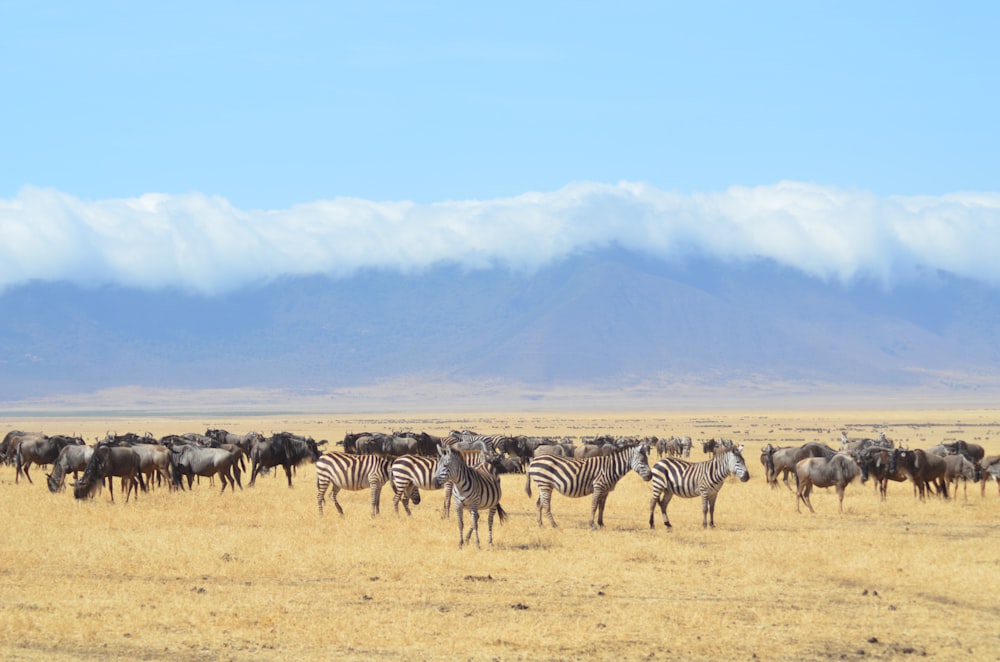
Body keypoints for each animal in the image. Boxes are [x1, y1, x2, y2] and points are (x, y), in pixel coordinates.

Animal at [524, 444, 656, 532]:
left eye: (646, 460)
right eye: (642, 461)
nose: (650, 476)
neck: (611, 468)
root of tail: (534, 460)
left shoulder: (605, 491)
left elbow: (601, 508)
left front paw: (601, 524)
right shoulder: (598, 487)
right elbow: (594, 506)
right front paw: (592, 525)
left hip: (544, 485)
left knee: (538, 504)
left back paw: (540, 524)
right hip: (545, 484)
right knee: (546, 504)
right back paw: (554, 525)